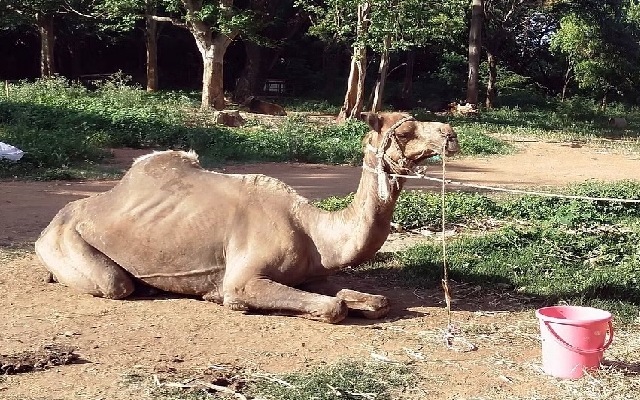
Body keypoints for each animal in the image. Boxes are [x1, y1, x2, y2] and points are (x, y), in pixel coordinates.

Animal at [35, 112, 460, 323]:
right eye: (404, 131)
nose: (451, 133)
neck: (314, 232)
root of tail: (51, 223)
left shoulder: (313, 275)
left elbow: (372, 301)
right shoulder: (243, 280)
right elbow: (331, 307)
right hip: (69, 243)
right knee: (115, 284)